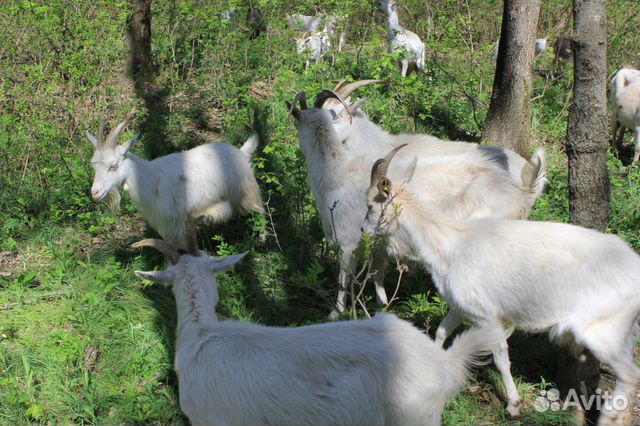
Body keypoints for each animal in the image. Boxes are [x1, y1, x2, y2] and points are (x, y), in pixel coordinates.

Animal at [87, 115, 262, 251]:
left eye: (114, 165)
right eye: (94, 165)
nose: (94, 193)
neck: (150, 179)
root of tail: (241, 152)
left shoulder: (173, 224)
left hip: (246, 191)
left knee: (260, 212)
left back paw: (261, 239)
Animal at [288, 82, 548, 316]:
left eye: (338, 116)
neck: (338, 171)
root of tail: (521, 190)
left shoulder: (347, 240)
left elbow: (343, 280)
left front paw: (336, 314)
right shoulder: (376, 239)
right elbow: (377, 272)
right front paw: (383, 305)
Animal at [362, 144, 640, 422]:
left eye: (370, 204)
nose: (364, 231)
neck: (450, 243)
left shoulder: (487, 316)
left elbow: (500, 359)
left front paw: (513, 405)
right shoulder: (462, 306)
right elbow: (441, 331)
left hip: (603, 329)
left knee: (630, 374)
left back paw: (608, 417)